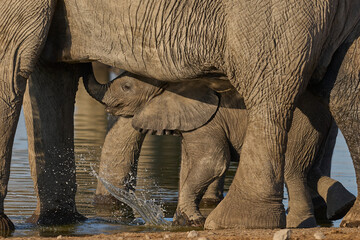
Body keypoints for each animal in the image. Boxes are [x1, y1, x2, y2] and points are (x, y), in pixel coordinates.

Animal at [83, 66, 354, 228]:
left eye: (127, 87)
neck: (174, 82)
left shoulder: (206, 120)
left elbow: (212, 161)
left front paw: (190, 220)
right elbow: (190, 165)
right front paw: (183, 221)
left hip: (302, 123)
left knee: (293, 168)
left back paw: (301, 223)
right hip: (317, 126)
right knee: (310, 169)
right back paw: (342, 205)